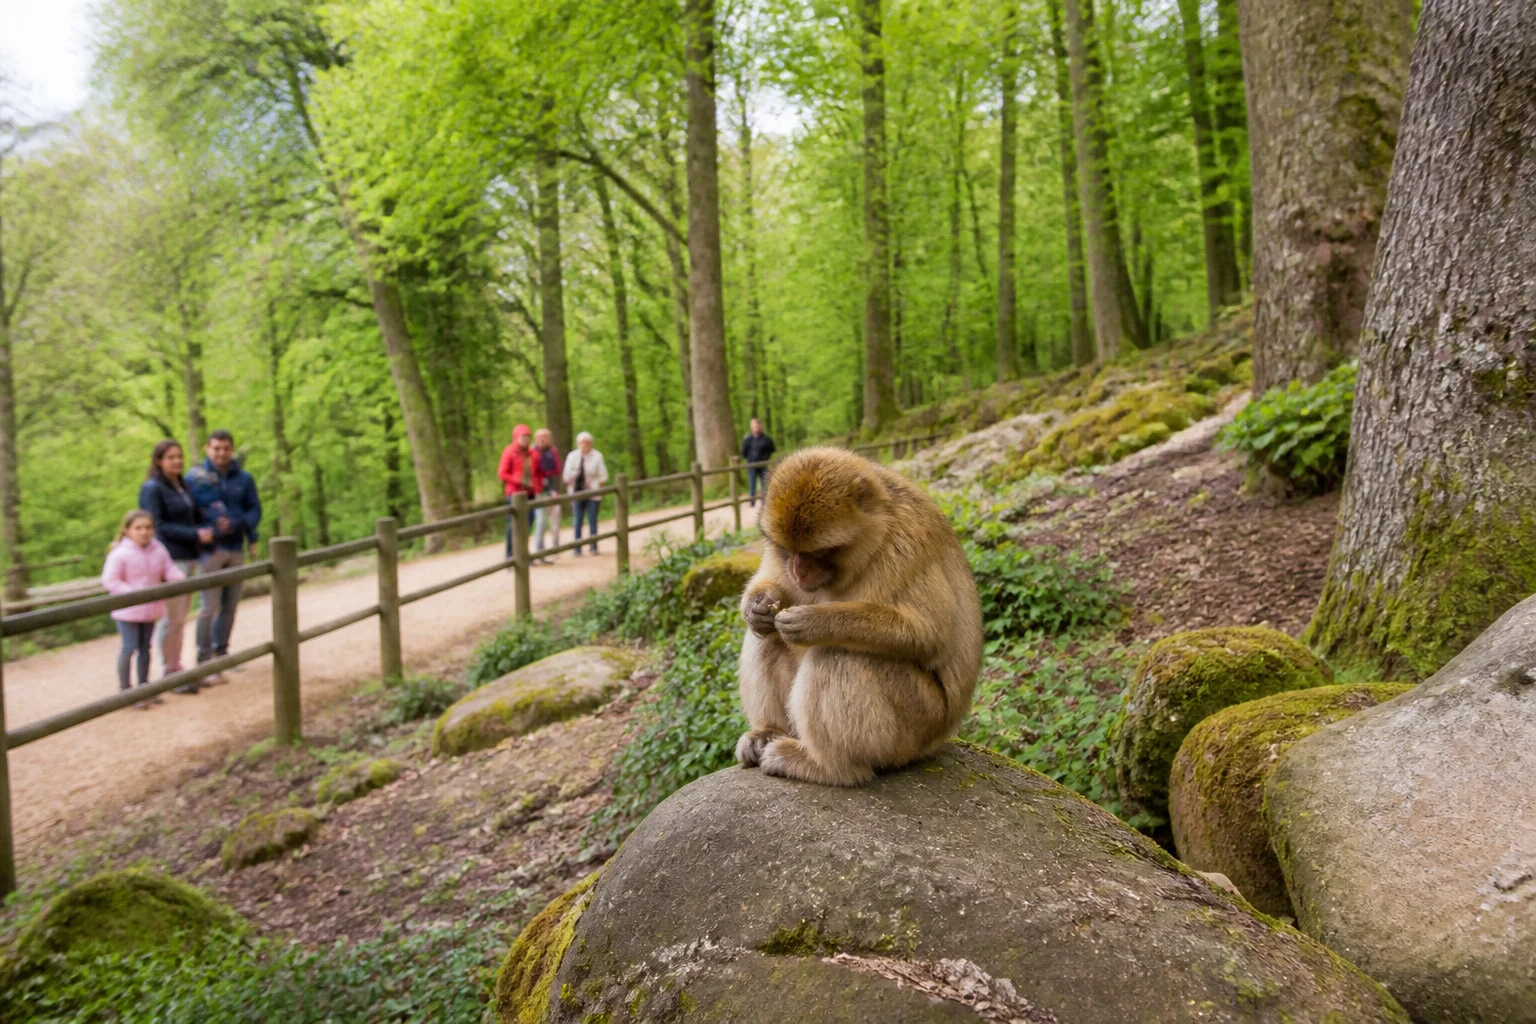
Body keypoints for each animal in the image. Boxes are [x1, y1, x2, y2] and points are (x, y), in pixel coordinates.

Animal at [735, 446, 983, 787]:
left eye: (818, 552)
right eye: (787, 549)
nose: (798, 570)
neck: (875, 532)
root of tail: (940, 735)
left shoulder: (905, 545)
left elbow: (929, 634)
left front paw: (816, 622)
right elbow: (772, 584)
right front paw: (757, 606)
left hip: (916, 724)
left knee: (837, 655)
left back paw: (829, 766)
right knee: (767, 638)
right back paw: (768, 732)